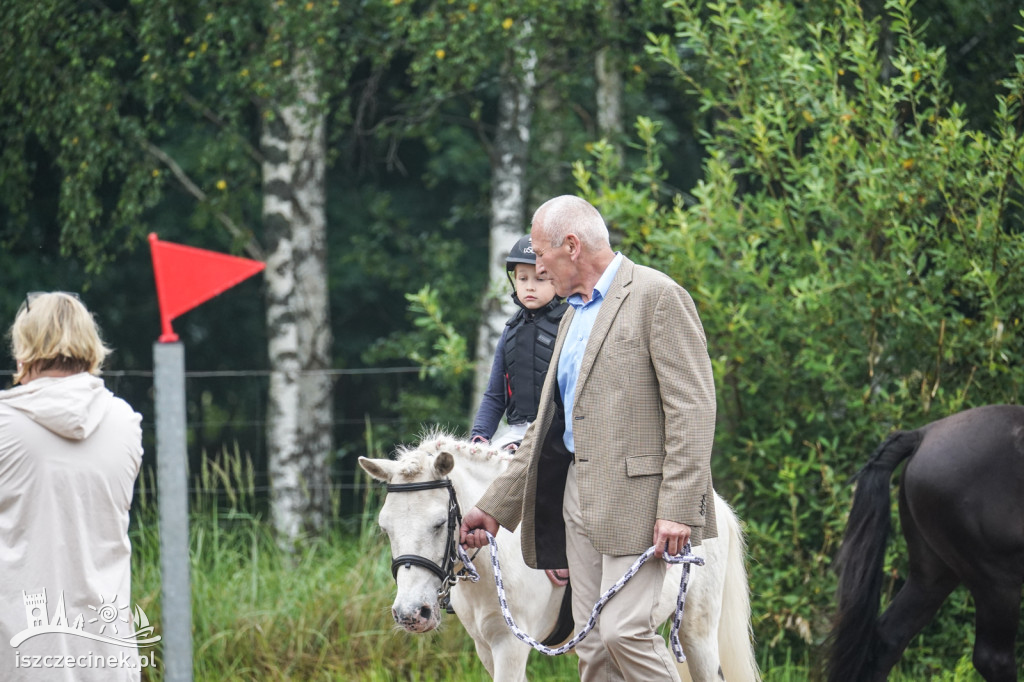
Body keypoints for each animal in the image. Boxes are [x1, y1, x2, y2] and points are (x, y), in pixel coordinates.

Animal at [356, 430, 757, 679]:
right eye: (385, 528)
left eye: (440, 523)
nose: (411, 614)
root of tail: (713, 505)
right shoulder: (486, 647)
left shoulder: (510, 646)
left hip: (697, 633)